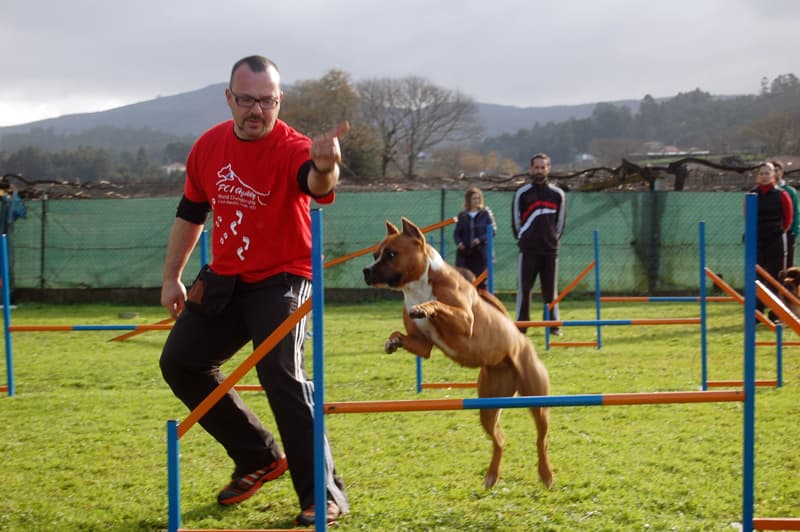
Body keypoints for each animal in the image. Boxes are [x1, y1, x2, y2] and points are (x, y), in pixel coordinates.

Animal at [360, 217, 552, 490]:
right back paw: (491, 476)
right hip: (488, 407)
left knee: (541, 439)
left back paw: (546, 475)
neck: (418, 287)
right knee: (500, 440)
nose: (366, 270)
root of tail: (522, 341)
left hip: (538, 402)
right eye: (375, 254)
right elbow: (402, 334)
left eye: (391, 254)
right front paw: (392, 341)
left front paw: (425, 307)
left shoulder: (464, 321)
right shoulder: (423, 345)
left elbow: (438, 305)